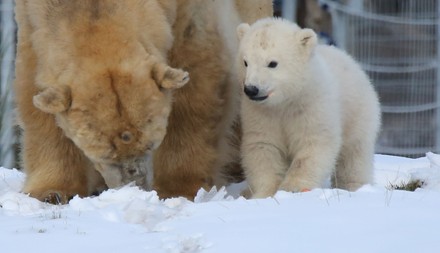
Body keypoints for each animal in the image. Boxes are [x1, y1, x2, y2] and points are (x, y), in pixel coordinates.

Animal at [14, 0, 272, 203]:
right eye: (104, 155)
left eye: (151, 144)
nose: (135, 186)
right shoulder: (31, 20)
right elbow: (35, 96)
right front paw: (51, 193)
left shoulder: (190, 15)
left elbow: (196, 81)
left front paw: (178, 190)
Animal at [237, 18, 382, 200]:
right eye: (245, 62)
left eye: (272, 63)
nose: (251, 89)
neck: (286, 101)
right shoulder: (260, 114)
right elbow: (263, 147)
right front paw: (264, 194)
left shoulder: (312, 107)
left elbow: (312, 146)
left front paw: (293, 188)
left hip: (357, 112)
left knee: (354, 154)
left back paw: (353, 187)